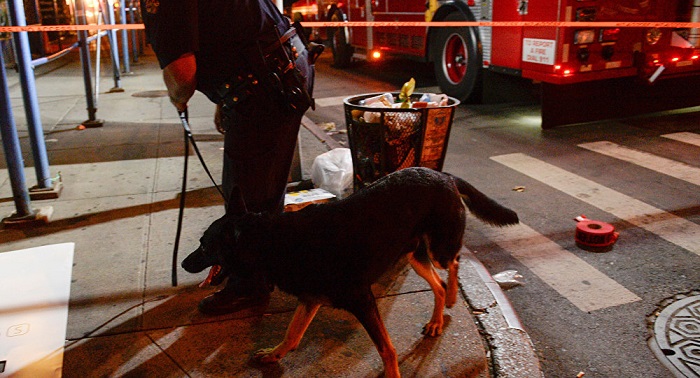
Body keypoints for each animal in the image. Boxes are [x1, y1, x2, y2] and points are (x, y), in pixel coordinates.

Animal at [183, 168, 516, 378]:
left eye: (204, 245)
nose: (184, 264)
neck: (274, 242)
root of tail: (442, 174)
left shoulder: (363, 302)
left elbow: (387, 349)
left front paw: (392, 374)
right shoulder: (311, 300)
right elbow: (292, 334)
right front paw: (274, 355)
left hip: (438, 249)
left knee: (454, 265)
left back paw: (452, 298)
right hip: (415, 256)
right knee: (438, 282)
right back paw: (436, 318)